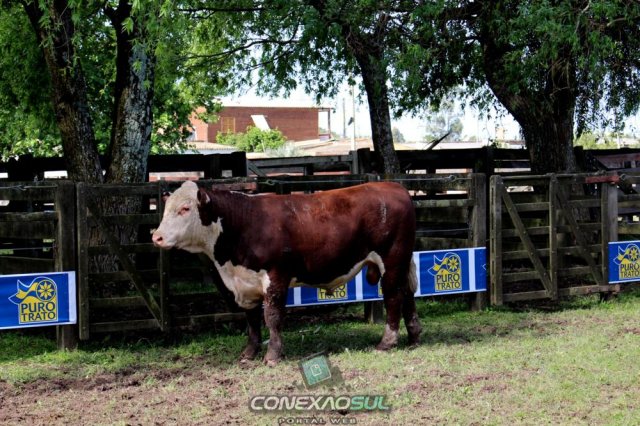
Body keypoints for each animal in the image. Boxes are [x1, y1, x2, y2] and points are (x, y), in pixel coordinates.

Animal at [152, 180, 422, 366]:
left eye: (185, 209)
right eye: (166, 210)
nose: (157, 237)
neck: (243, 223)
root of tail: (394, 187)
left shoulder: (275, 277)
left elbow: (272, 316)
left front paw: (272, 355)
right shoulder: (245, 284)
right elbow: (251, 319)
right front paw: (249, 353)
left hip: (391, 260)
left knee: (394, 297)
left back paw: (387, 342)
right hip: (402, 261)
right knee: (407, 294)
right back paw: (414, 337)